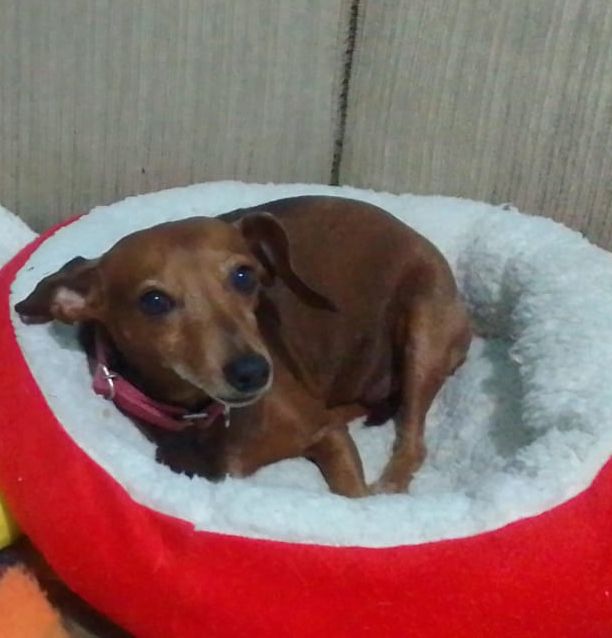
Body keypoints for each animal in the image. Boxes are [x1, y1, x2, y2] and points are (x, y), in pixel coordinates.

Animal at [15, 196, 471, 497]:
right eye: (154, 301)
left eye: (244, 276)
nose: (252, 371)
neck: (209, 415)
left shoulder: (327, 435)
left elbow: (350, 496)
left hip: (423, 330)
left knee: (412, 443)